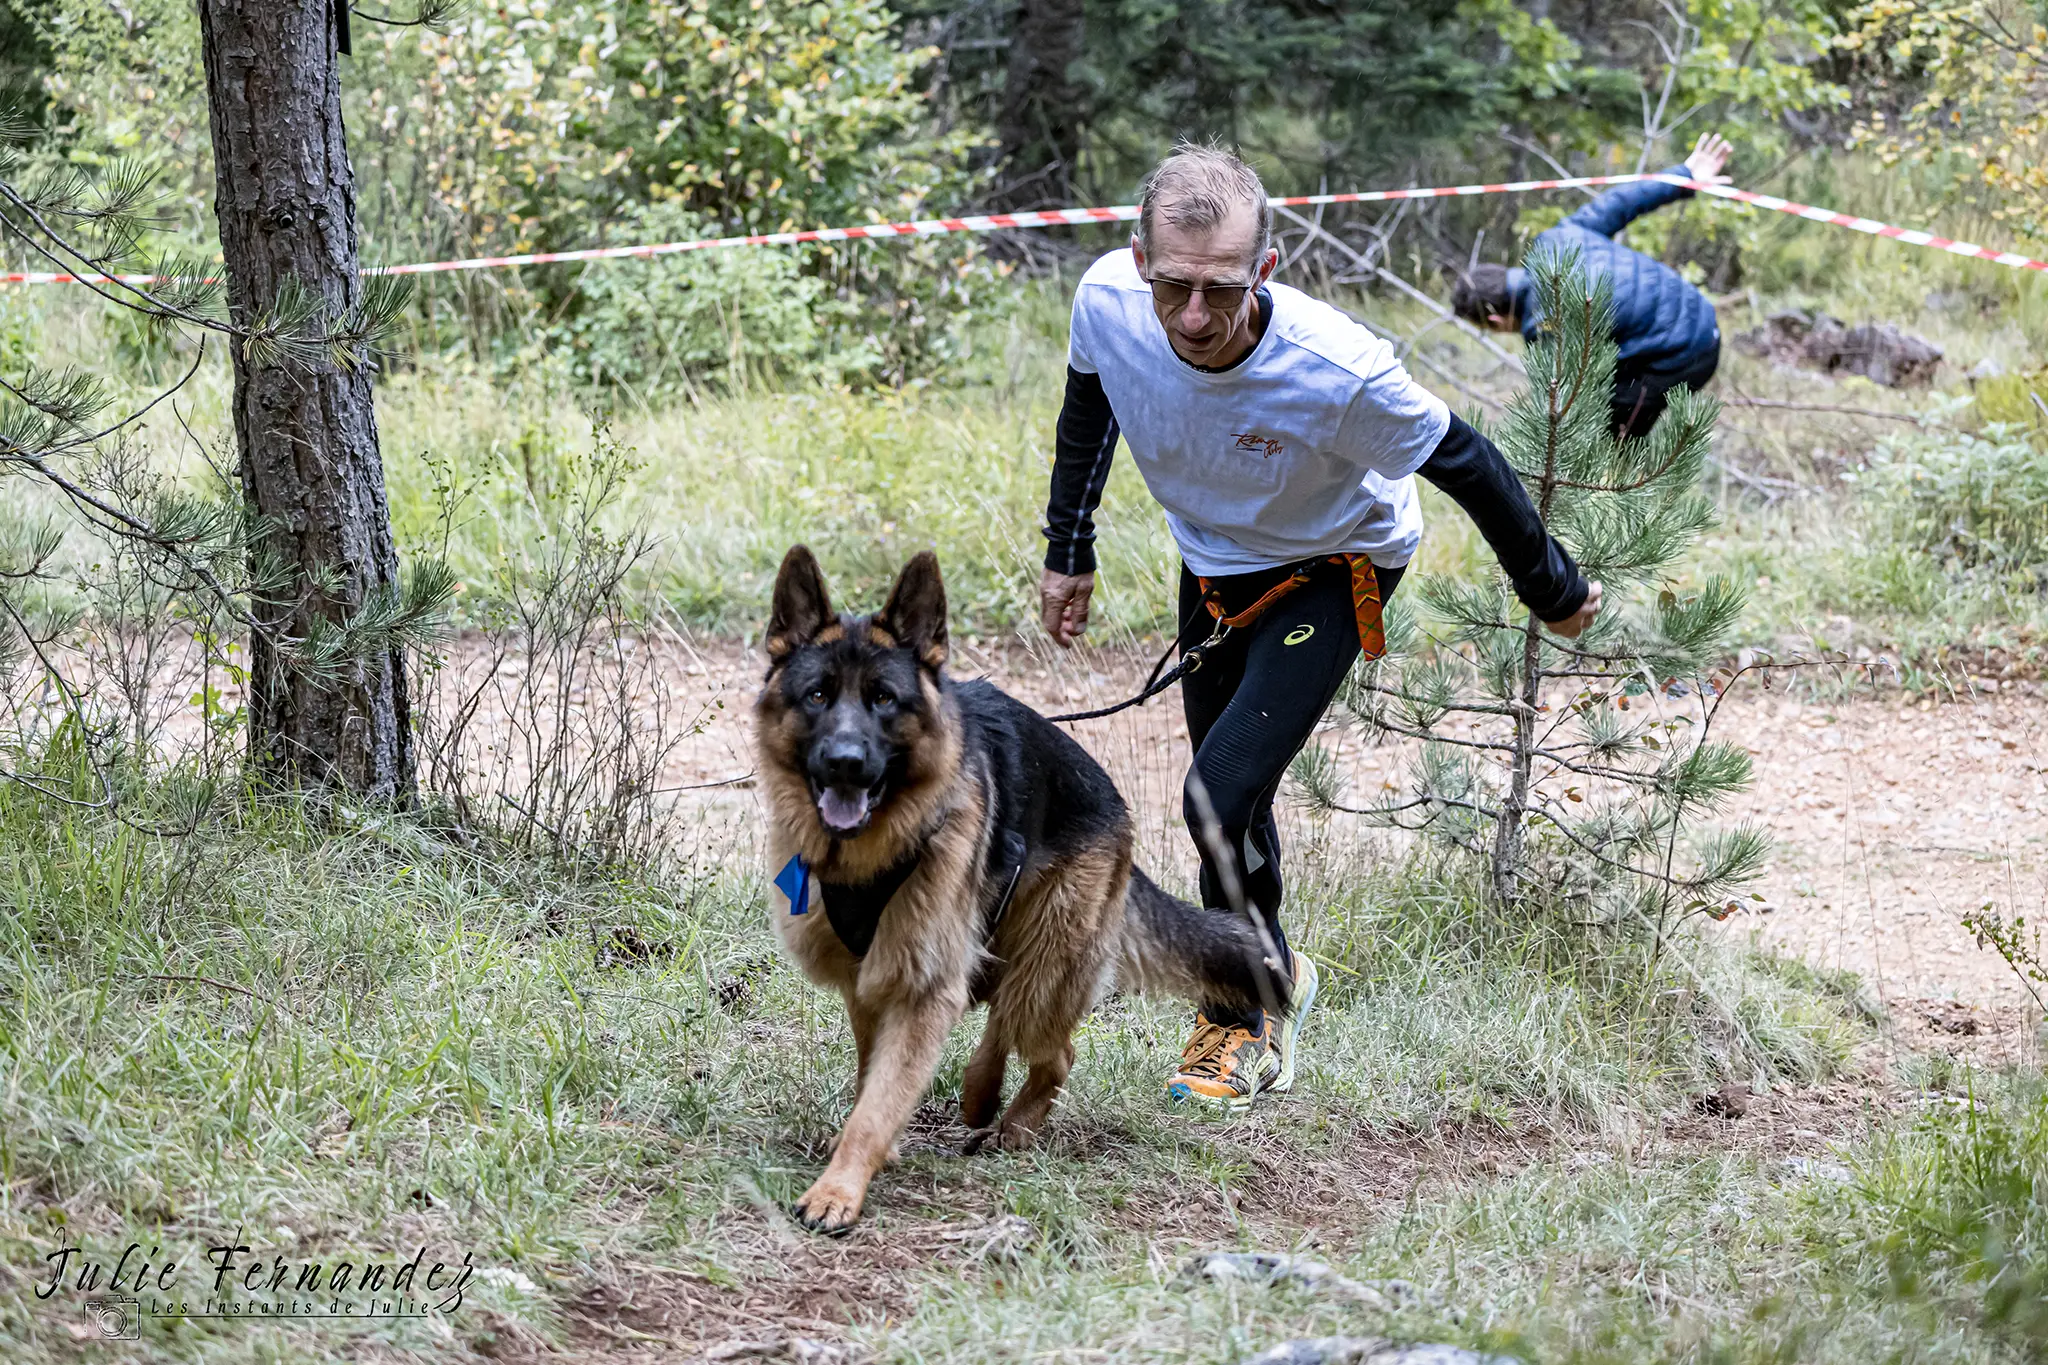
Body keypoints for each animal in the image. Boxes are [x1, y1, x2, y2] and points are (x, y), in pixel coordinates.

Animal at [761, 548, 1286, 1236]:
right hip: (1011, 942)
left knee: (1052, 1044)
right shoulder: (872, 981)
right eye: (818, 695)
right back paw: (981, 1094)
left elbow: (878, 1105)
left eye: (884, 699)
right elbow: (873, 1078)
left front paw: (838, 1191)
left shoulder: (921, 984)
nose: (846, 762)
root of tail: (1114, 802)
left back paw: (1014, 1123)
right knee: (1000, 1007)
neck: (877, 852)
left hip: (1049, 958)